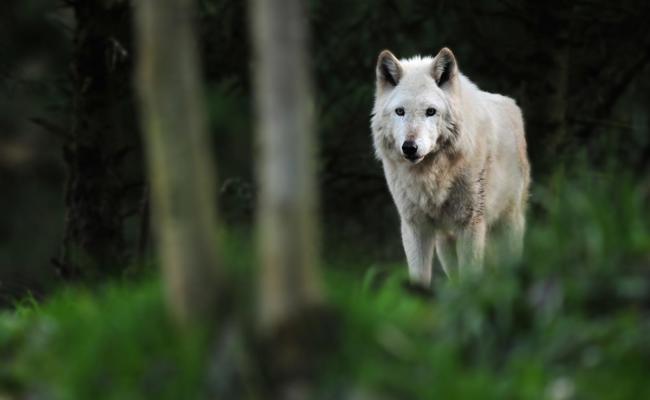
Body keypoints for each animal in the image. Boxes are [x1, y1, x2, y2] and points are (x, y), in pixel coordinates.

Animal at [371, 47, 530, 285]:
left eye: (430, 111)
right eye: (400, 111)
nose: (409, 147)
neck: (432, 176)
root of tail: (512, 105)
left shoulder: (470, 225)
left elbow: (471, 278)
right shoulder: (415, 227)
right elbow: (419, 278)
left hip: (508, 224)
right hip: (445, 243)